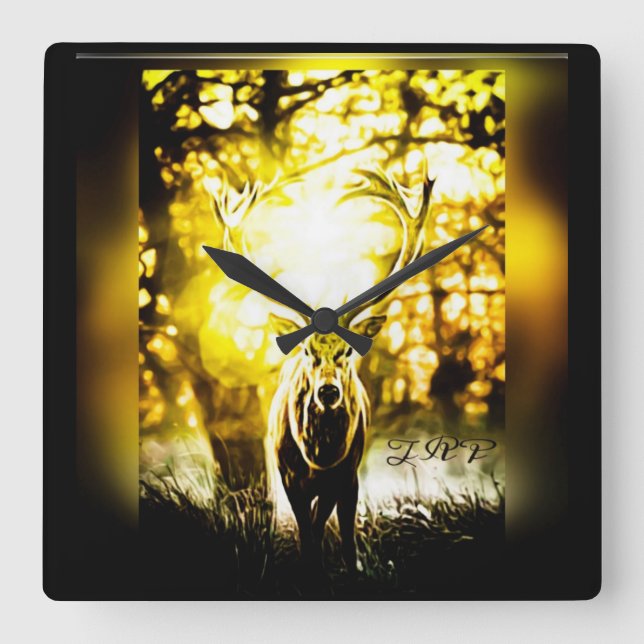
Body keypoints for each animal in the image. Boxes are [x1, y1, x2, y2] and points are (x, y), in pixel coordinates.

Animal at [210, 168, 435, 571]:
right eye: (305, 350)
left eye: (348, 349)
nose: (328, 391)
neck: (320, 455)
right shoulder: (288, 475)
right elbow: (307, 532)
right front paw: (310, 566)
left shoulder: (346, 475)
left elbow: (334, 530)